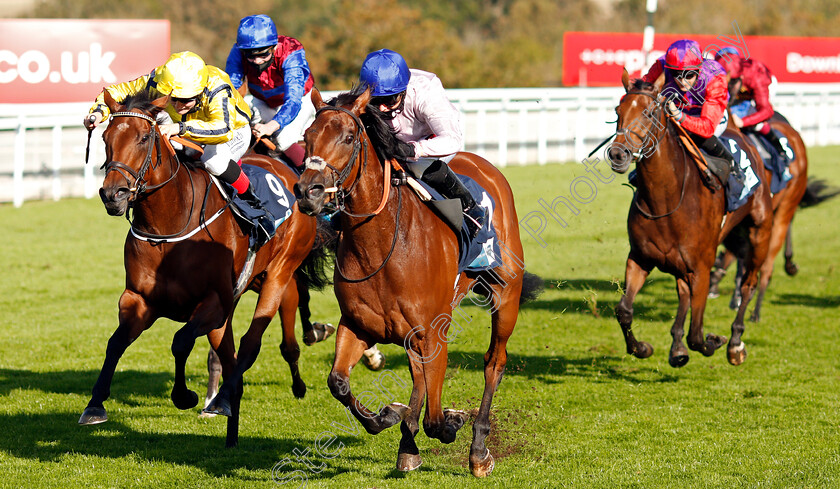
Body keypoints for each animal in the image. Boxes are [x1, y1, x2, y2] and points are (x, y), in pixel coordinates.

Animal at [79, 89, 322, 448]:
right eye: (106, 137)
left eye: (144, 138)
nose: (113, 194)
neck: (169, 228)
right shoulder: (139, 299)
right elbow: (115, 343)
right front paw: (95, 404)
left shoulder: (213, 303)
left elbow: (180, 341)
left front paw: (184, 396)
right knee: (232, 359)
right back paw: (227, 419)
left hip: (279, 272)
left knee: (260, 335)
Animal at [296, 87, 540, 476]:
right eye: (306, 137)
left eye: (348, 137)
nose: (309, 192)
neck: (381, 245)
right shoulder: (358, 325)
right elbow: (338, 383)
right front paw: (388, 415)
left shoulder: (432, 331)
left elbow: (436, 419)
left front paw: (454, 421)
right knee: (419, 379)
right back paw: (407, 444)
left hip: (506, 298)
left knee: (493, 363)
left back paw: (478, 450)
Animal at [608, 73, 772, 366]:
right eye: (618, 111)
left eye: (648, 113)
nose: (618, 154)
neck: (666, 200)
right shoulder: (640, 258)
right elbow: (624, 310)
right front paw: (642, 348)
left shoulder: (702, 267)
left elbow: (697, 335)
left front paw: (715, 341)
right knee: (683, 292)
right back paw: (677, 348)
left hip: (759, 234)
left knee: (748, 284)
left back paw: (735, 342)